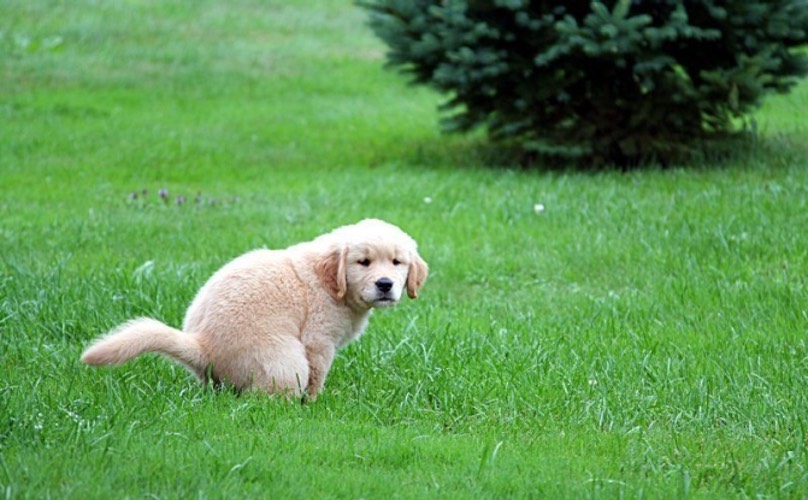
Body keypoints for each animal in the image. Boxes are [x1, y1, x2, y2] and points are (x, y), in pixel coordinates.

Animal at [80, 219, 430, 398]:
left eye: (397, 262)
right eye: (363, 262)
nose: (385, 284)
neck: (331, 282)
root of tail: (201, 346)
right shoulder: (318, 341)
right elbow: (317, 377)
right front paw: (314, 403)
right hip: (285, 362)